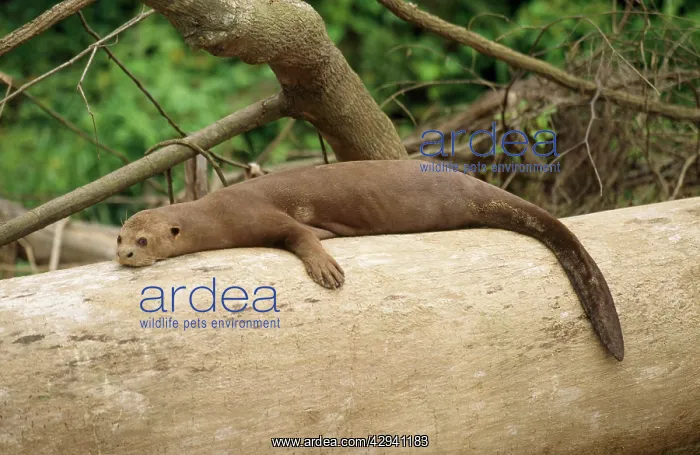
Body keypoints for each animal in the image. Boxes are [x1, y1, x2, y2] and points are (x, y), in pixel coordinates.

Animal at [117, 160, 624, 360]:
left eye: (142, 240)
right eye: (120, 235)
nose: (122, 253)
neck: (215, 213)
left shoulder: (259, 215)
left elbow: (301, 235)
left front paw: (326, 269)